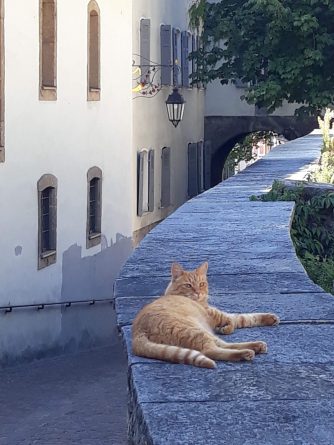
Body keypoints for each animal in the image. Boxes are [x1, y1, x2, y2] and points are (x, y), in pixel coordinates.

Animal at [131, 260, 280, 368]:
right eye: (188, 285)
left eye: (202, 284)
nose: (198, 293)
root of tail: (137, 333)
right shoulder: (216, 314)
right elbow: (235, 321)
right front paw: (226, 328)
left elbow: (245, 317)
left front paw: (270, 318)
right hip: (194, 330)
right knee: (210, 351)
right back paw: (246, 353)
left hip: (203, 331)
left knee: (223, 345)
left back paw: (256, 346)